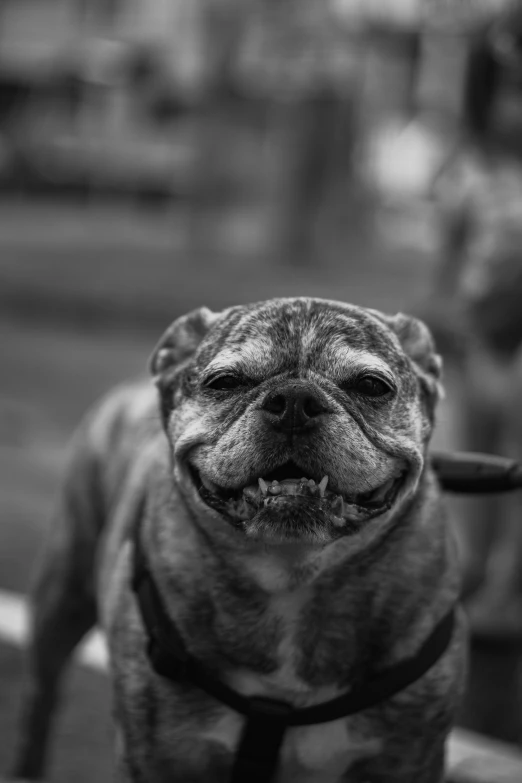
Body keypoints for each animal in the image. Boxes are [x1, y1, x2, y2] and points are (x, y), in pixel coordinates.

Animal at [10, 298, 466, 780]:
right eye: (225, 382)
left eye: (372, 385)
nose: (295, 400)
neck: (292, 572)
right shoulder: (159, 754)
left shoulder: (407, 757)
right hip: (61, 598)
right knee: (39, 699)